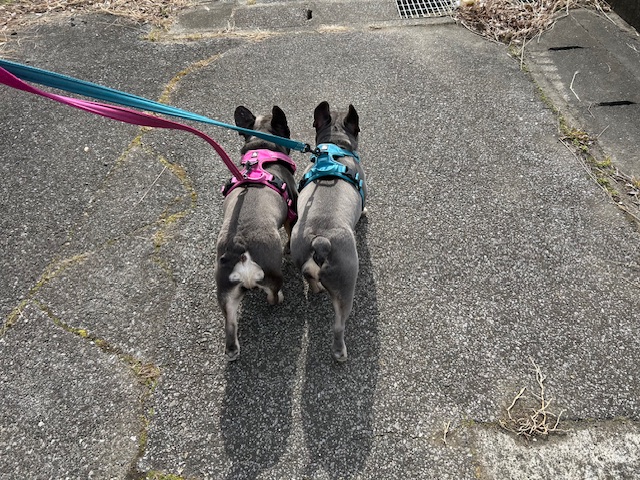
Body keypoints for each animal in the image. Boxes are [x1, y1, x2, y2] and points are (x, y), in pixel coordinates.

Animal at [215, 105, 297, 361]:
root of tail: (239, 246)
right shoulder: (292, 210)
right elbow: (291, 232)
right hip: (272, 273)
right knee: (272, 295)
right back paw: (278, 298)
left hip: (225, 291)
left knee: (230, 324)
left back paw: (232, 350)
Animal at [290, 101, 367, 362]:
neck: (334, 147)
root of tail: (320, 240)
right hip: (346, 285)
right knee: (338, 326)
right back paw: (340, 352)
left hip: (301, 253)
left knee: (309, 277)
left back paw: (316, 289)